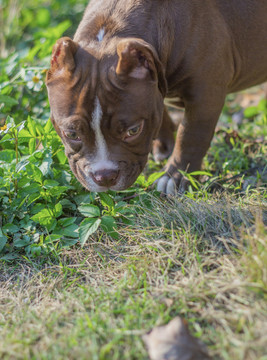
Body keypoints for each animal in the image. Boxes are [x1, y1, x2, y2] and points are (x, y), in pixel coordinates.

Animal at [46, 0, 267, 194]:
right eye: (71, 134)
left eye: (133, 131)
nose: (105, 177)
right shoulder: (154, 89)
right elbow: (158, 112)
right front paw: (164, 145)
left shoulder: (206, 96)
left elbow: (191, 136)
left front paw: (176, 176)